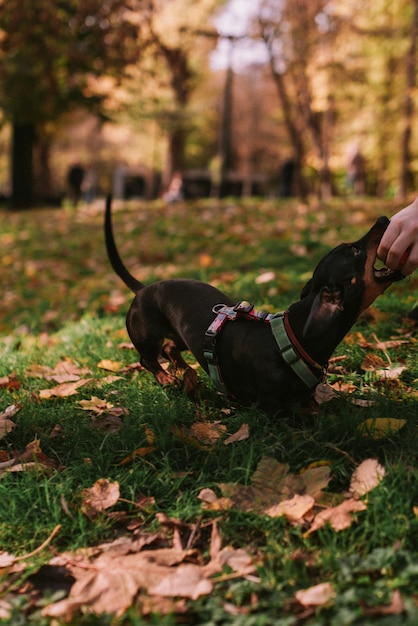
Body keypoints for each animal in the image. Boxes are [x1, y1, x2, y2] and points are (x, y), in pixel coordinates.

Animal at [105, 199, 404, 414]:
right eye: (355, 250)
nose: (383, 218)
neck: (291, 340)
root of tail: (144, 288)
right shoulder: (271, 409)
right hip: (147, 335)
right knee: (147, 359)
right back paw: (166, 378)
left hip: (183, 337)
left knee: (170, 349)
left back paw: (181, 369)